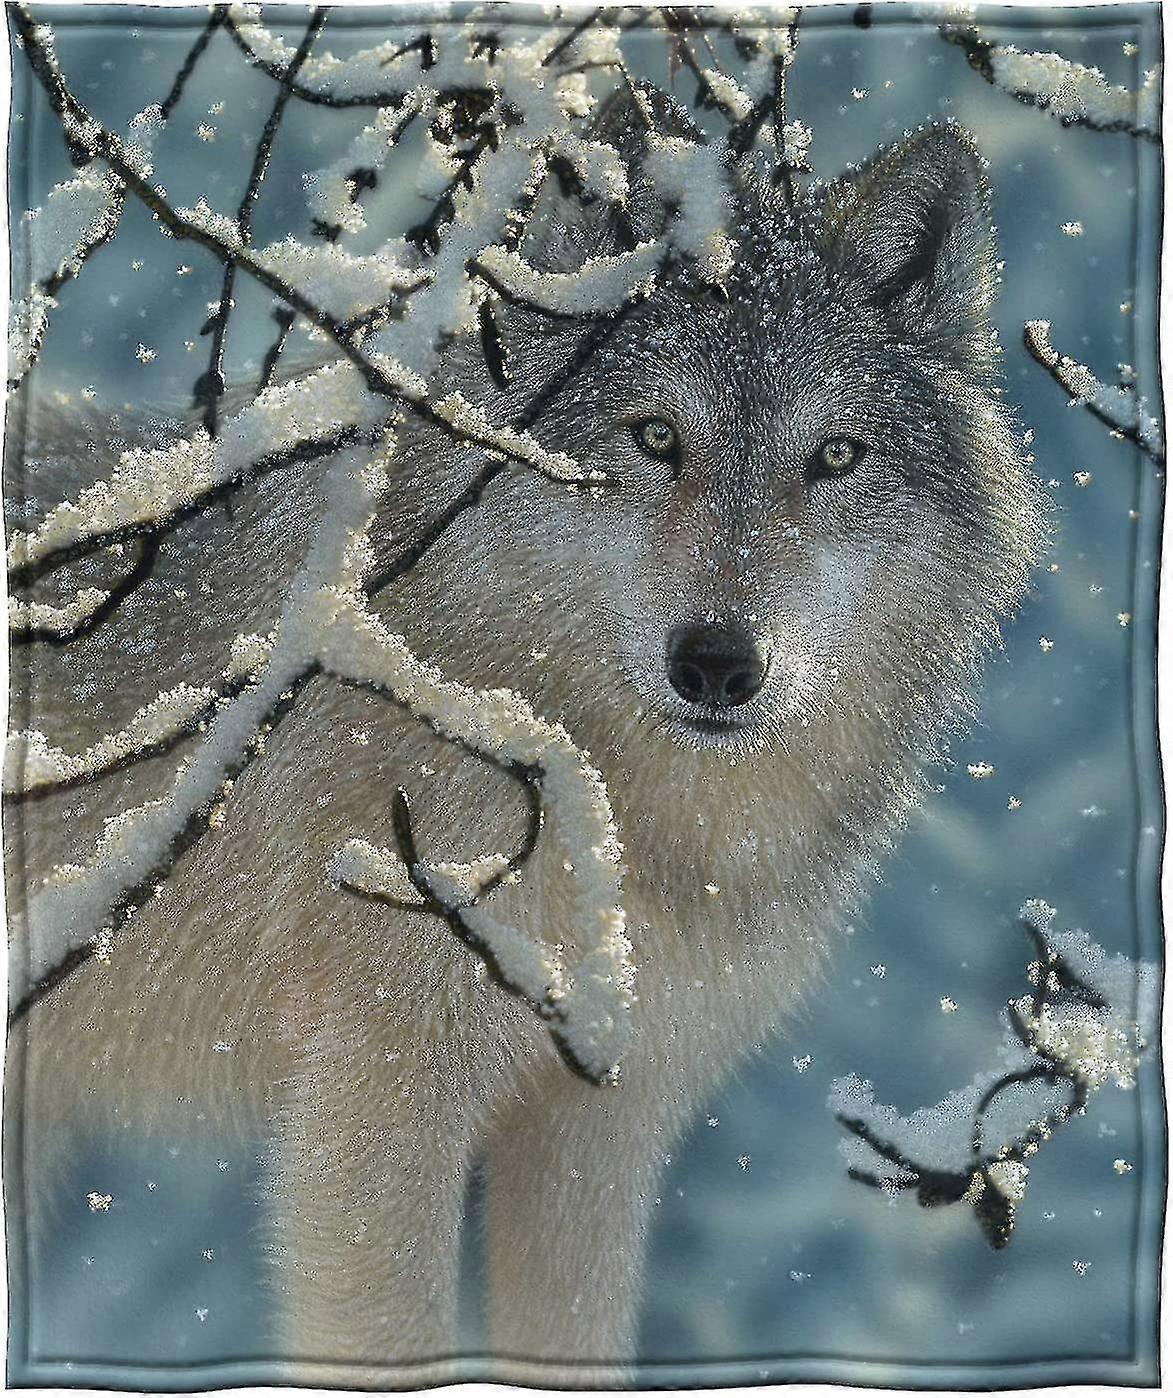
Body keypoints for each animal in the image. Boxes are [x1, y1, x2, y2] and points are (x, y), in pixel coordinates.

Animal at [6, 87, 1043, 1387]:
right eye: (656, 439)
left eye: (837, 458)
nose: (718, 663)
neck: (621, 818)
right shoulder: (379, 1101)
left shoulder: (602, 1125)